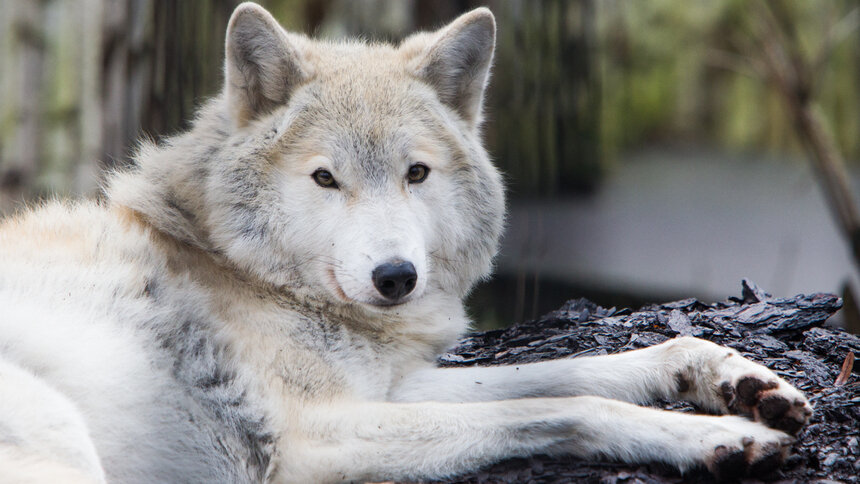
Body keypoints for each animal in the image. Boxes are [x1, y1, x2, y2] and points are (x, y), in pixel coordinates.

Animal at [0, 3, 812, 484]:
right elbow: (568, 405)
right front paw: (713, 438)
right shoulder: (314, 435)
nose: (396, 277)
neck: (241, 268)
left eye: (415, 173)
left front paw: (730, 377)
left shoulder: (383, 387)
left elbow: (573, 372)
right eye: (325, 178)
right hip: (63, 433)